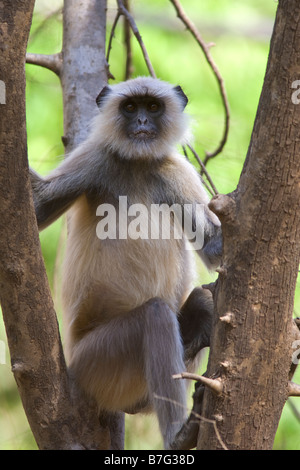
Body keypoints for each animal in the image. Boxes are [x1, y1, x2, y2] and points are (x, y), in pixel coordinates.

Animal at [29, 76, 223, 448]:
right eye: (131, 107)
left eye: (153, 107)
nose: (143, 122)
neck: (138, 163)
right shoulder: (95, 158)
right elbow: (34, 209)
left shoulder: (176, 172)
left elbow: (216, 249)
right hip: (95, 362)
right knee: (155, 315)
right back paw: (179, 434)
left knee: (203, 301)